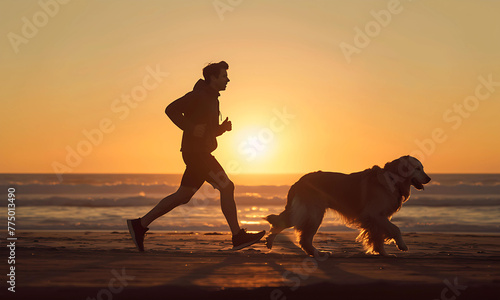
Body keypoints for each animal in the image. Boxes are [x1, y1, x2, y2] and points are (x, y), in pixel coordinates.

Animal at [264, 156, 432, 256]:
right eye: (417, 168)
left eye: (423, 168)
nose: (429, 178)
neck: (393, 180)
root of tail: (299, 181)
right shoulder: (373, 214)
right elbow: (395, 229)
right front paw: (401, 245)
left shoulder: (377, 218)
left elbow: (377, 236)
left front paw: (382, 252)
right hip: (313, 213)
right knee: (301, 235)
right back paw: (317, 252)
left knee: (286, 224)